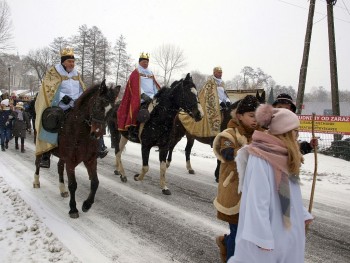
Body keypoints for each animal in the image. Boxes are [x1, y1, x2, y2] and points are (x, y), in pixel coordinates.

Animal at [33, 81, 119, 220]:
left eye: (111, 111)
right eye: (97, 105)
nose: (97, 134)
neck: (81, 133)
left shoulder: (90, 160)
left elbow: (95, 182)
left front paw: (87, 204)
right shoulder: (71, 162)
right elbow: (73, 185)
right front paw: (73, 209)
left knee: (59, 167)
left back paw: (62, 189)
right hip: (40, 146)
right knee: (37, 163)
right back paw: (36, 181)